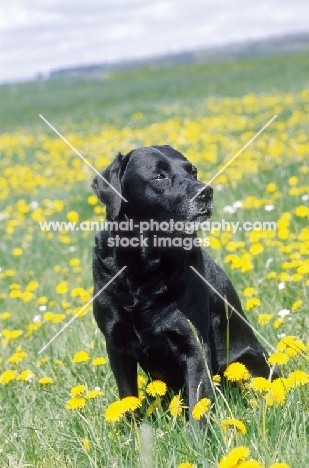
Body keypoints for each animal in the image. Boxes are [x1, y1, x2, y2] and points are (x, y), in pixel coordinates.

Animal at [91, 144, 274, 414]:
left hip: (248, 365)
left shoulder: (194, 345)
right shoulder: (115, 346)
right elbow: (129, 402)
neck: (144, 270)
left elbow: (199, 405)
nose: (205, 192)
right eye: (159, 176)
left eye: (193, 171)